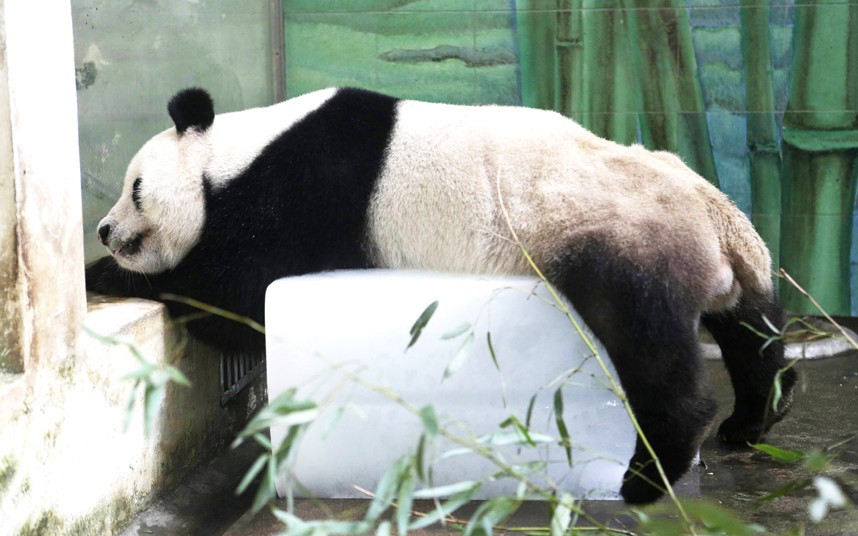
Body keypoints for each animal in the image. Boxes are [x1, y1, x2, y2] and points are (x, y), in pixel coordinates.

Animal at [86, 87, 797, 505]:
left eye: (136, 188)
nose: (105, 229)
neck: (236, 150)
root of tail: (715, 217)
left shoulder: (309, 188)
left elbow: (233, 297)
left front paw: (109, 276)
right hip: (723, 259)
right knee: (751, 331)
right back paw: (756, 417)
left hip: (613, 233)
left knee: (647, 339)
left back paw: (653, 470)